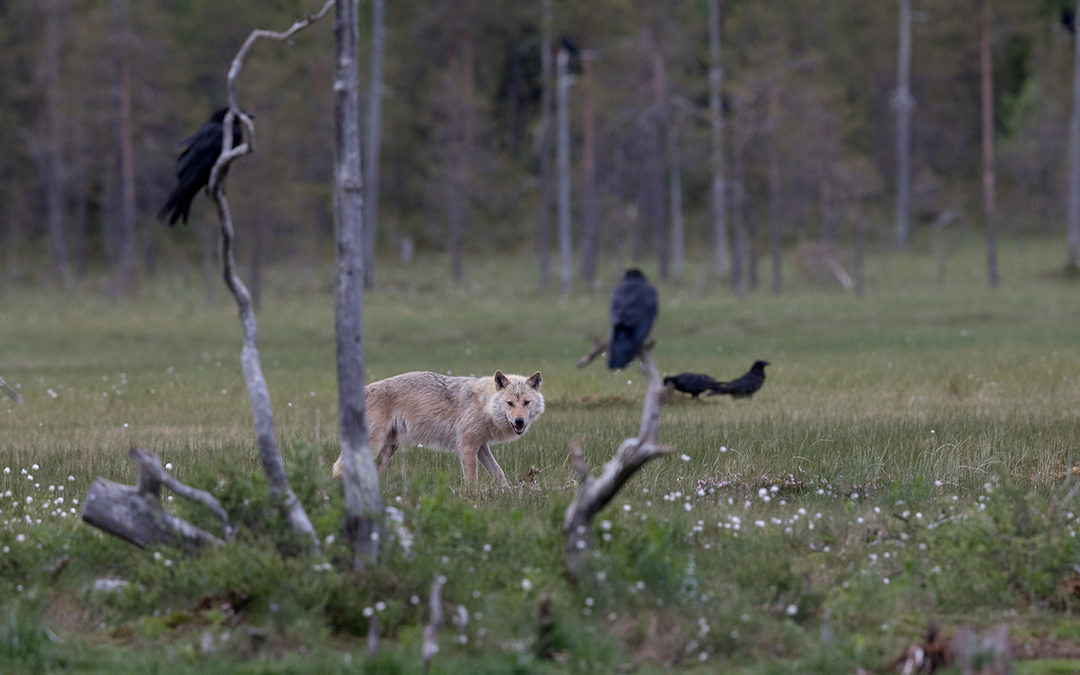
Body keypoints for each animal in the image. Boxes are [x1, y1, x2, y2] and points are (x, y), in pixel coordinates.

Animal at [328, 369, 544, 483]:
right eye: (510, 403)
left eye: (526, 403)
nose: (519, 421)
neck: (485, 404)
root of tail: (364, 390)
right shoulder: (467, 447)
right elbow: (472, 481)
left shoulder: (481, 446)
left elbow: (499, 474)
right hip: (374, 446)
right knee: (338, 468)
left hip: (387, 450)